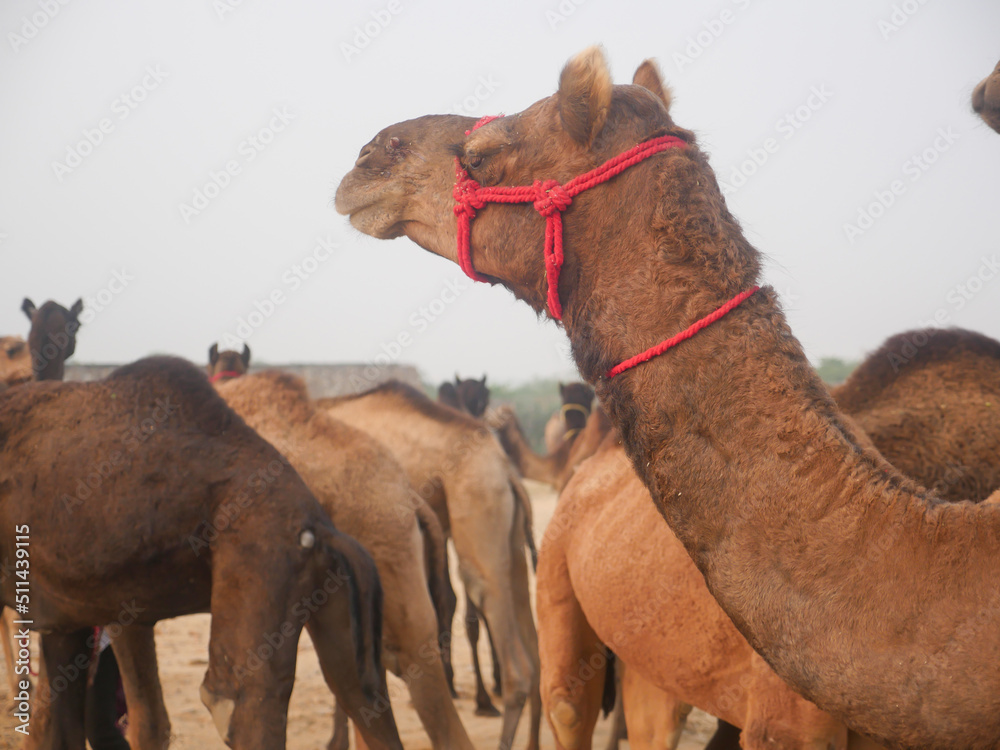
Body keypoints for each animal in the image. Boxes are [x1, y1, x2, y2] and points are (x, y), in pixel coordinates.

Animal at [0, 357, 402, 750]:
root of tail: (321, 526)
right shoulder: (63, 614)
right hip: (324, 591)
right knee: (360, 695)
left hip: (261, 558)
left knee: (236, 703)